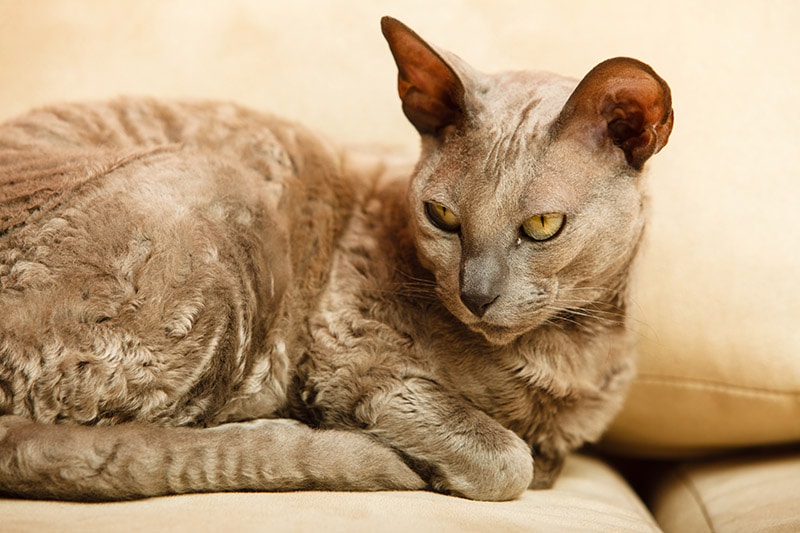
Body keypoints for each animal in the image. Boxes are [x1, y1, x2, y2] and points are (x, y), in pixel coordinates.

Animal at [0, 16, 676, 498]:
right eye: (442, 217)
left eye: (541, 226)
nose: (475, 294)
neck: (570, 357)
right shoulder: (359, 364)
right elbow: (508, 458)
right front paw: (453, 465)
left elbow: (544, 456)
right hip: (223, 195)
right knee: (131, 440)